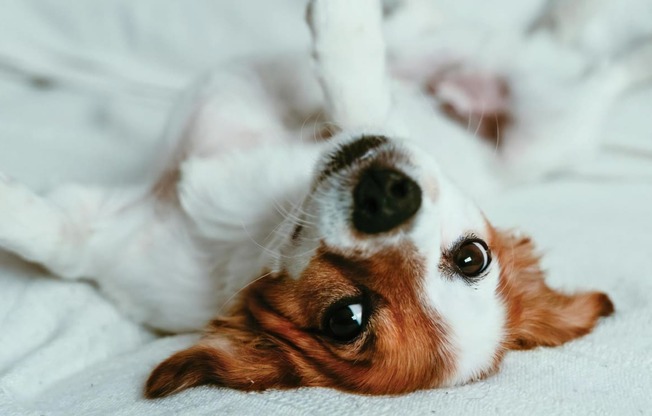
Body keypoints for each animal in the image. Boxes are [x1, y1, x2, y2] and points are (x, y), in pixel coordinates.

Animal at [2, 0, 648, 398]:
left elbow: (357, 91)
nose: (388, 199)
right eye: (473, 258)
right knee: (483, 27)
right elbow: (52, 237)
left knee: (606, 75)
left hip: (559, 125)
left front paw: (342, 20)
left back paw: (632, 53)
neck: (262, 208)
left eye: (346, 319)